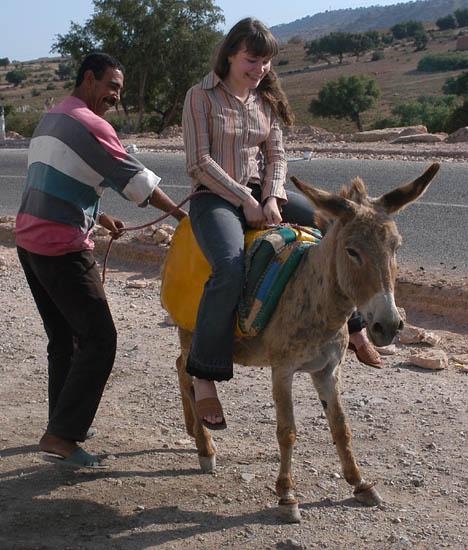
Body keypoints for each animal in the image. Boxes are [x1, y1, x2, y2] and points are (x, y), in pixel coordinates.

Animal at [164, 163, 440, 523]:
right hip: (191, 327)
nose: (389, 325)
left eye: (397, 247)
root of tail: (183, 222)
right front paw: (287, 495)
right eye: (352, 251)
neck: (316, 300)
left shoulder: (328, 370)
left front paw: (360, 483)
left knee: (182, 368)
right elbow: (287, 431)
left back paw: (193, 432)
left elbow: (341, 428)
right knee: (189, 372)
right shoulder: (282, 371)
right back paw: (205, 445)